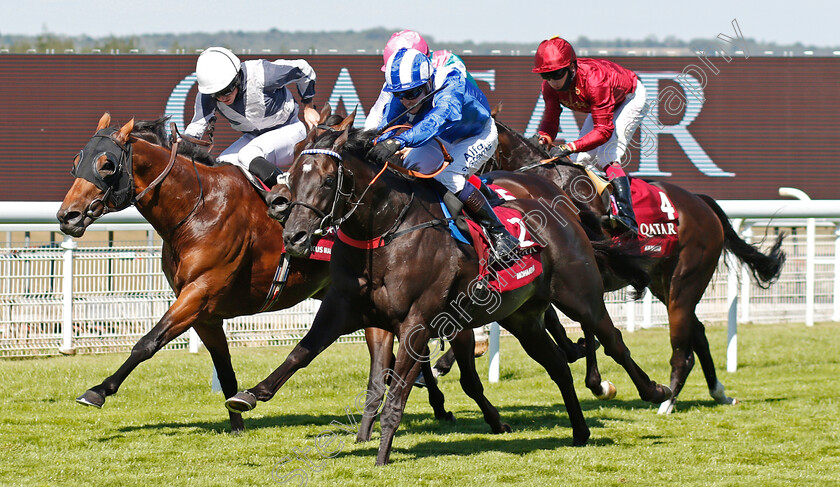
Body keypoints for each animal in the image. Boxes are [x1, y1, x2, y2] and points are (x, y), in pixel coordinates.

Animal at [57, 114, 460, 434]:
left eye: (107, 165)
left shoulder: (198, 293)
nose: (67, 215)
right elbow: (224, 368)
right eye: (77, 161)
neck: (197, 207)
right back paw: (437, 403)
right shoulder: (205, 312)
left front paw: (98, 390)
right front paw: (236, 423)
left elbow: (147, 342)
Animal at [223, 114, 668, 466]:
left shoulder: (418, 320)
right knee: (557, 365)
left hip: (579, 295)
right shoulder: (348, 309)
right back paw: (579, 431)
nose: (294, 235)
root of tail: (563, 204)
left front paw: (383, 454)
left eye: (330, 179)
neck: (384, 230)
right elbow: (303, 353)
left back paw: (654, 391)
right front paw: (249, 394)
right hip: (523, 317)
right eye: (293, 175)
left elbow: (399, 389)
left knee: (613, 340)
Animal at [488, 120, 784, 414]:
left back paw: (667, 400)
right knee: (698, 332)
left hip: (687, 278)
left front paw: (597, 380)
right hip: (663, 283)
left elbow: (588, 325)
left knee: (682, 347)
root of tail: (701, 202)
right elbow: (570, 321)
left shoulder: (583, 272)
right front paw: (589, 370)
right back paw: (717, 392)